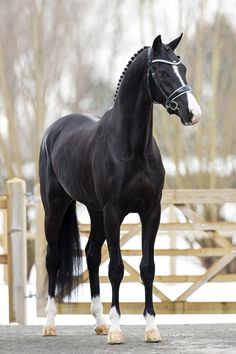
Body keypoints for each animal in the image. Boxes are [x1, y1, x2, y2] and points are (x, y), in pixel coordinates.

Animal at [40, 34, 201, 342]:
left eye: (183, 69)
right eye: (163, 73)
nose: (193, 114)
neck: (132, 148)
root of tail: (54, 130)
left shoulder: (151, 211)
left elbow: (147, 267)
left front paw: (151, 328)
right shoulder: (114, 211)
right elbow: (115, 269)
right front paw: (117, 331)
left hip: (95, 211)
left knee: (91, 254)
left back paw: (99, 321)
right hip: (55, 207)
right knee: (53, 259)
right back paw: (50, 324)